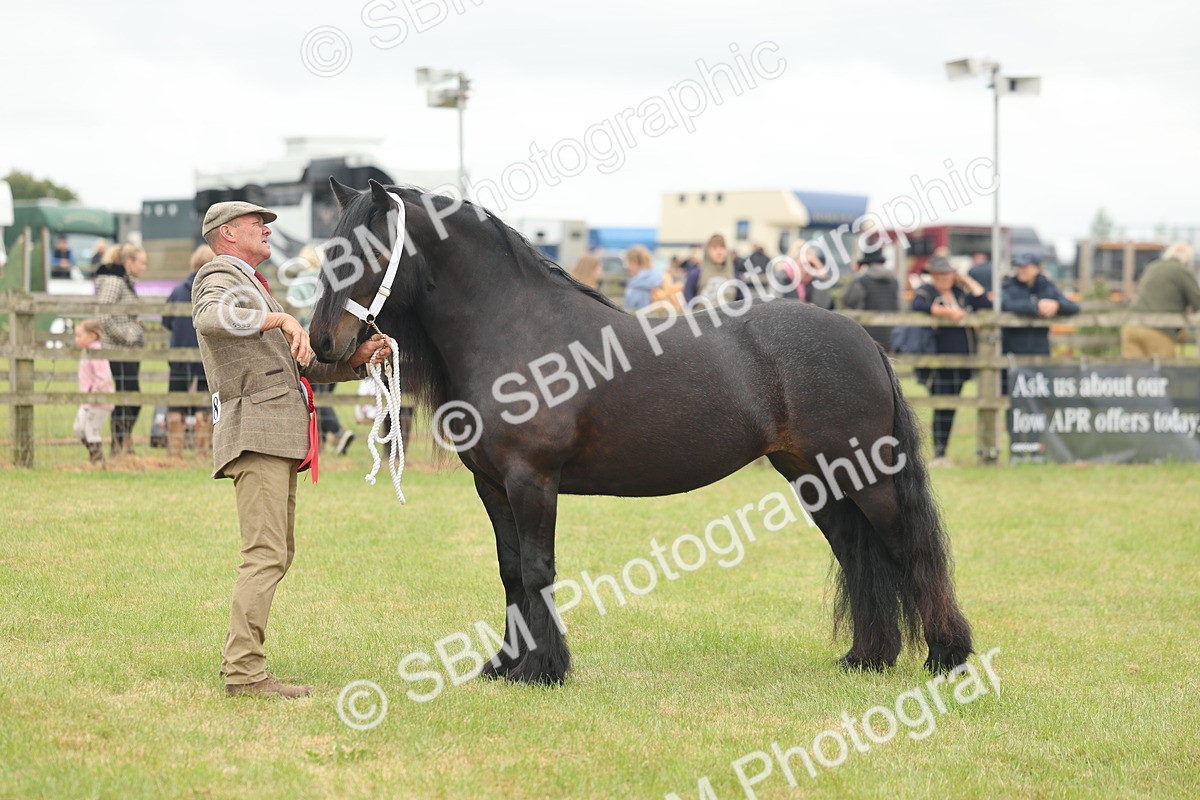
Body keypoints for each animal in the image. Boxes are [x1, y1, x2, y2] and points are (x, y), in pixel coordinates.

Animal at [308, 179, 974, 684]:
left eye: (367, 254)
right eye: (327, 252)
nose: (321, 344)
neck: (517, 328)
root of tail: (863, 340)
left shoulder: (532, 482)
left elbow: (538, 569)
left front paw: (544, 669)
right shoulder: (493, 487)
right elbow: (510, 571)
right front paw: (506, 664)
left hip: (867, 477)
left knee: (907, 551)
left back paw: (947, 656)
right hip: (818, 480)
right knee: (859, 555)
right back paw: (868, 657)